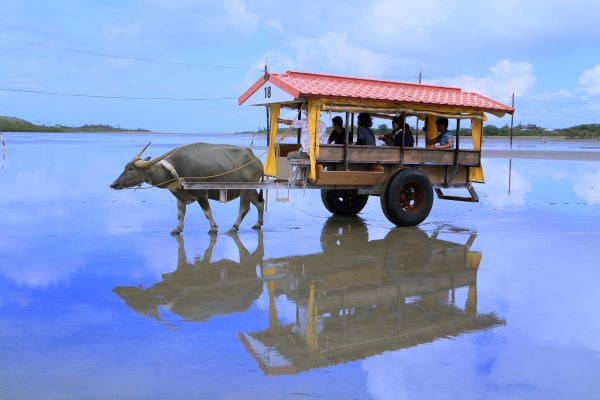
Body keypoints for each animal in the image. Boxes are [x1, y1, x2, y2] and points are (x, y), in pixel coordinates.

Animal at [110, 142, 264, 234]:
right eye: (126, 167)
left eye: (131, 169)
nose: (113, 184)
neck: (175, 171)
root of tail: (256, 160)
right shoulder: (180, 196)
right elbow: (180, 214)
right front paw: (177, 229)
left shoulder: (202, 194)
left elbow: (207, 212)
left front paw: (213, 228)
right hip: (250, 189)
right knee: (259, 203)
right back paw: (258, 224)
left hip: (246, 189)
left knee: (244, 208)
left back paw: (233, 228)